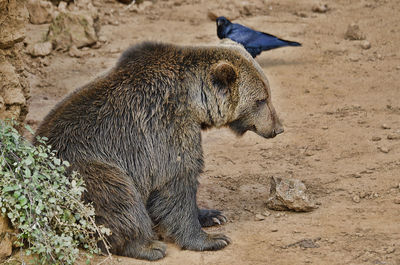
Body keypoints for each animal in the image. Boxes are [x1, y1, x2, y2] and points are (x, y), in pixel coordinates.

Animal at [35, 41, 284, 260]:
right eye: (261, 100)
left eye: (268, 95)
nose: (278, 128)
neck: (194, 102)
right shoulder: (165, 127)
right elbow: (176, 183)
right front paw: (211, 239)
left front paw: (213, 215)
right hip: (85, 167)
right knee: (118, 197)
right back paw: (147, 246)